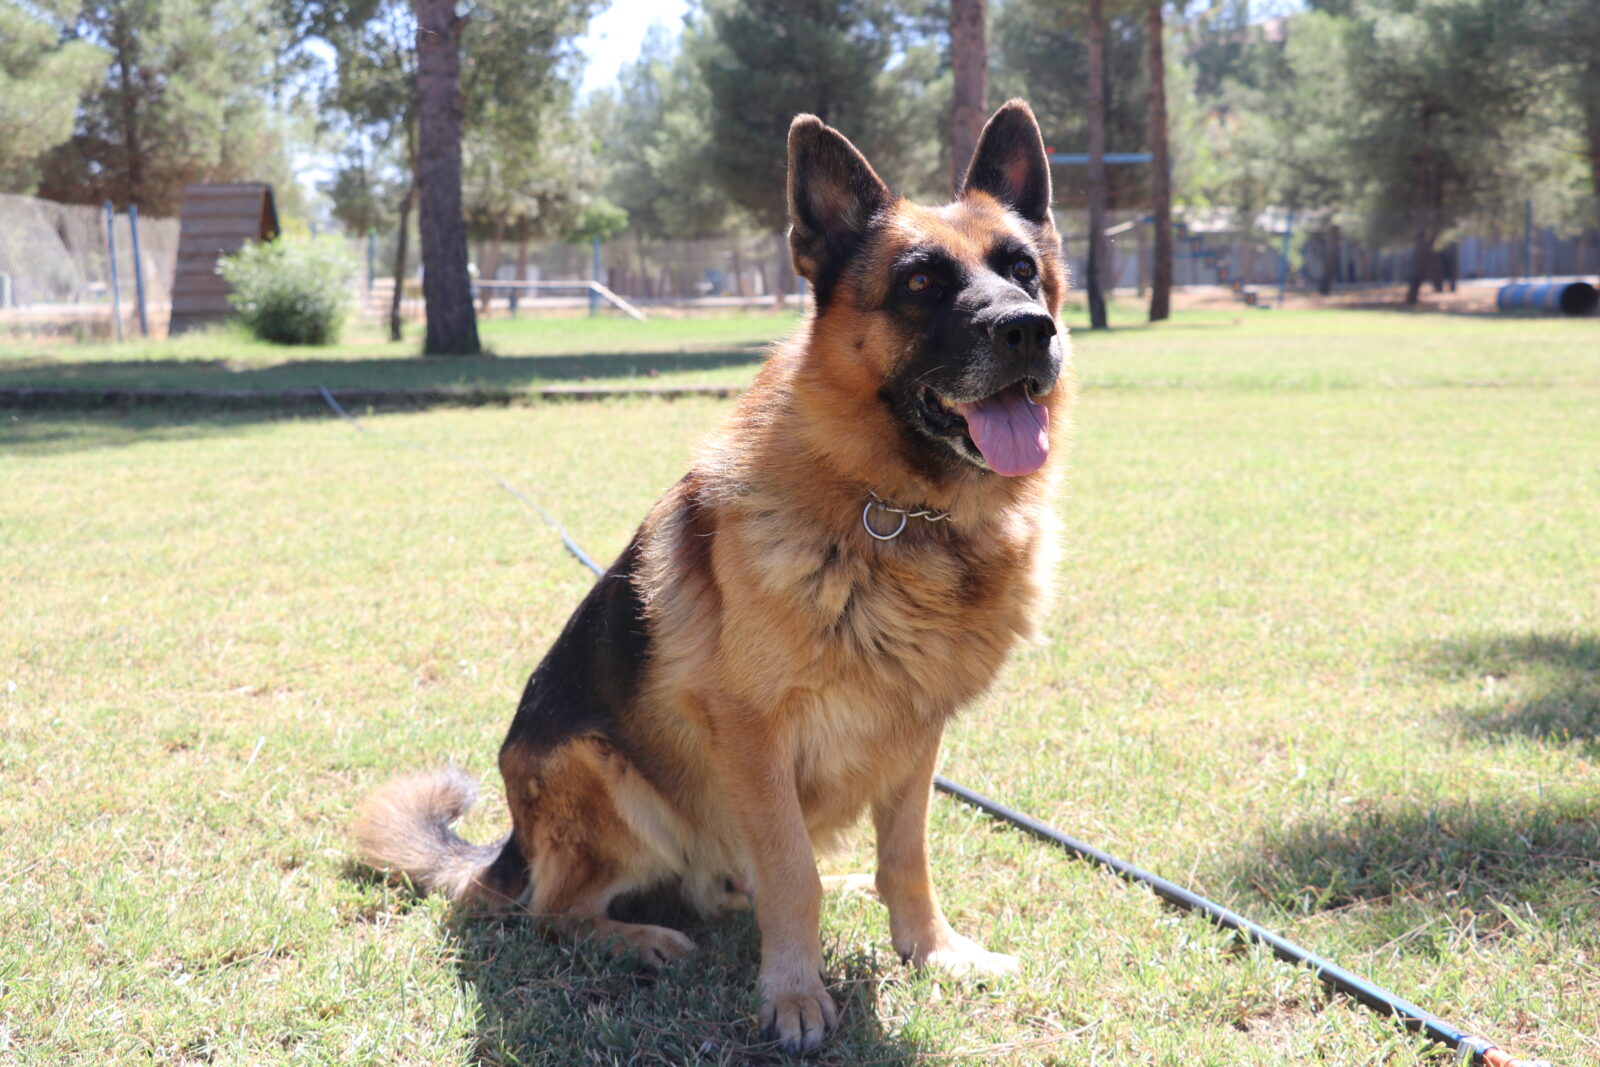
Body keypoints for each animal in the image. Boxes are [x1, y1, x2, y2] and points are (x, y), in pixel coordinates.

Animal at [356, 99, 1068, 1049]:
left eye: (1022, 269)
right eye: (920, 282)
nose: (1029, 329)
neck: (898, 512)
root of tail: (507, 848)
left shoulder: (915, 734)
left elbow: (905, 857)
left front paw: (933, 948)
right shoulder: (753, 732)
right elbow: (793, 873)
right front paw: (795, 994)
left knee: (735, 885)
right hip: (604, 775)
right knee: (558, 910)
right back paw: (639, 937)